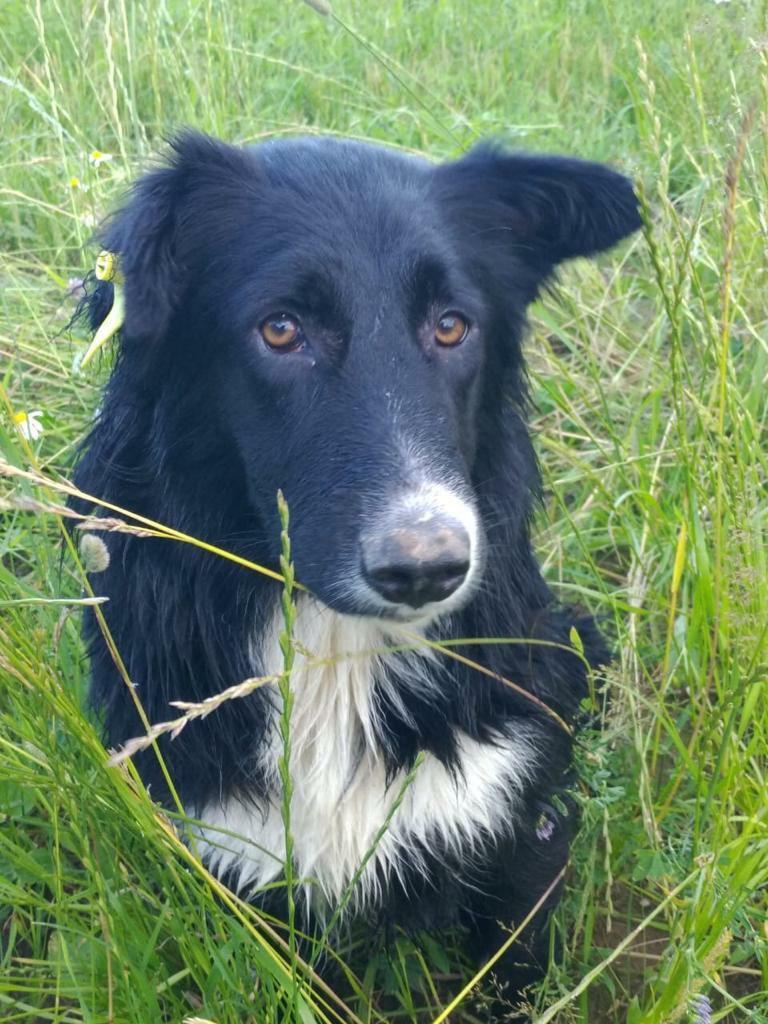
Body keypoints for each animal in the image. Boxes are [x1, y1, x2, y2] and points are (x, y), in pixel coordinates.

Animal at [72, 132, 638, 1011]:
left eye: (452, 326)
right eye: (280, 329)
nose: (427, 569)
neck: (335, 646)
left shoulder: (520, 818)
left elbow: (512, 973)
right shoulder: (241, 861)